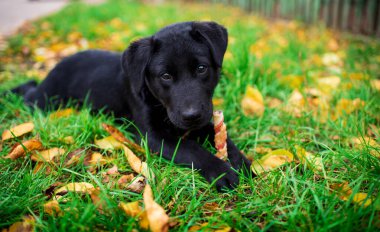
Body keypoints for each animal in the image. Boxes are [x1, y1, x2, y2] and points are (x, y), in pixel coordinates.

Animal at [11, 21, 254, 192]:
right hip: (43, 101)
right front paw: (222, 172)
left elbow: (224, 139)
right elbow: (191, 149)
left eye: (201, 68)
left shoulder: (203, 121)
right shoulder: (152, 135)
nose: (191, 115)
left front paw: (242, 163)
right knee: (28, 92)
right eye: (165, 76)